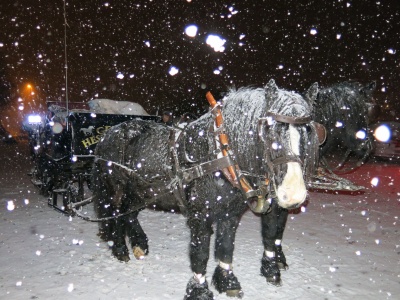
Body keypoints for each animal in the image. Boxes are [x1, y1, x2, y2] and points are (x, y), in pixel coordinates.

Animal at [91, 79, 322, 298]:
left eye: (308, 131)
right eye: (270, 131)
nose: (293, 194)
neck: (219, 155)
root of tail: (107, 135)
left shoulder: (230, 213)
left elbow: (226, 246)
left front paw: (227, 281)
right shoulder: (200, 216)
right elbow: (201, 253)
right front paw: (199, 289)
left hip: (141, 192)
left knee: (129, 214)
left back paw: (139, 244)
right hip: (116, 190)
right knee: (116, 213)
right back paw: (120, 248)